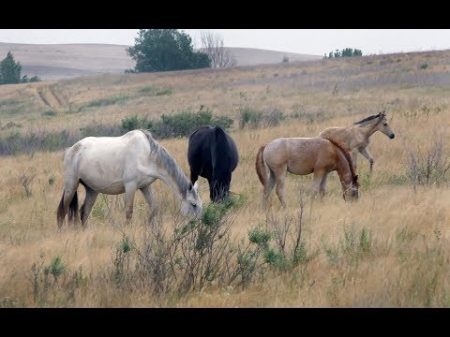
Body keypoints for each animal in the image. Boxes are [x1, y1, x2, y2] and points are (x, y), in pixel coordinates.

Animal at [56, 128, 202, 226]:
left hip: (92, 190)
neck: (147, 155)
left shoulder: (145, 186)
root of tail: (71, 149)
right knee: (63, 211)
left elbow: (154, 208)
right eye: (193, 204)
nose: (200, 223)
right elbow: (129, 212)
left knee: (84, 212)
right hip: (71, 186)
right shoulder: (130, 186)